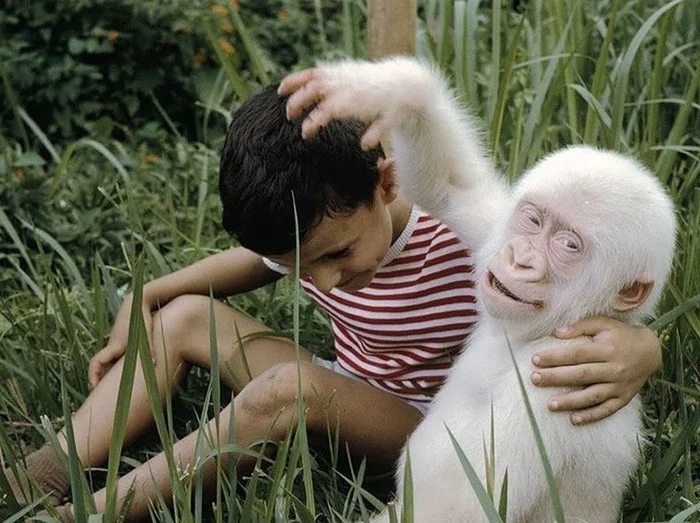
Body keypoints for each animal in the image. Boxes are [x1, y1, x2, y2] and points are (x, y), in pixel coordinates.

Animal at [280, 57, 680, 523]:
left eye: (569, 245)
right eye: (533, 220)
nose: (521, 257)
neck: (536, 335)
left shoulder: (555, 387)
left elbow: (462, 505)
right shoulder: (494, 226)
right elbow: (452, 185)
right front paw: (383, 90)